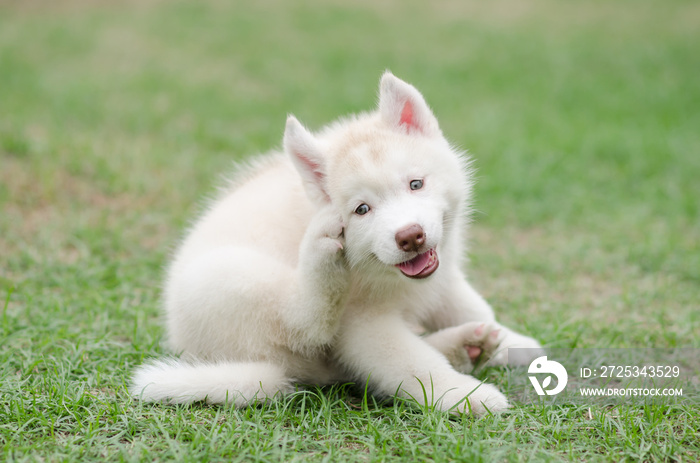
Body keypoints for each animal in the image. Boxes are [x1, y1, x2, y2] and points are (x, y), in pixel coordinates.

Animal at [133, 73, 548, 416]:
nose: (409, 236)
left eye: (415, 184)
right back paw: (321, 256)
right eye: (362, 210)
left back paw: (466, 346)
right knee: (305, 324)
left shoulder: (442, 275)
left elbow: (470, 305)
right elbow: (412, 364)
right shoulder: (363, 324)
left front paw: (512, 341)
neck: (386, 276)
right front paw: (465, 395)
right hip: (228, 278)